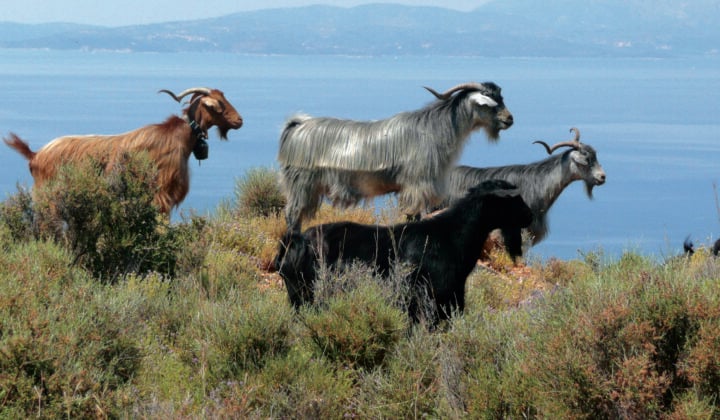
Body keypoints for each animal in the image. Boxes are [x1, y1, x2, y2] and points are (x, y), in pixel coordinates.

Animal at [274, 180, 533, 325]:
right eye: (513, 199)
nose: (530, 215)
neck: (450, 235)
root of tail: (295, 242)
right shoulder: (428, 303)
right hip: (306, 295)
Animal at [277, 82, 514, 232]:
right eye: (491, 101)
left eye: (501, 97)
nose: (509, 119)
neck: (434, 129)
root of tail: (297, 126)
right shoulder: (416, 187)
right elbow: (412, 217)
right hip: (301, 185)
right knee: (291, 216)